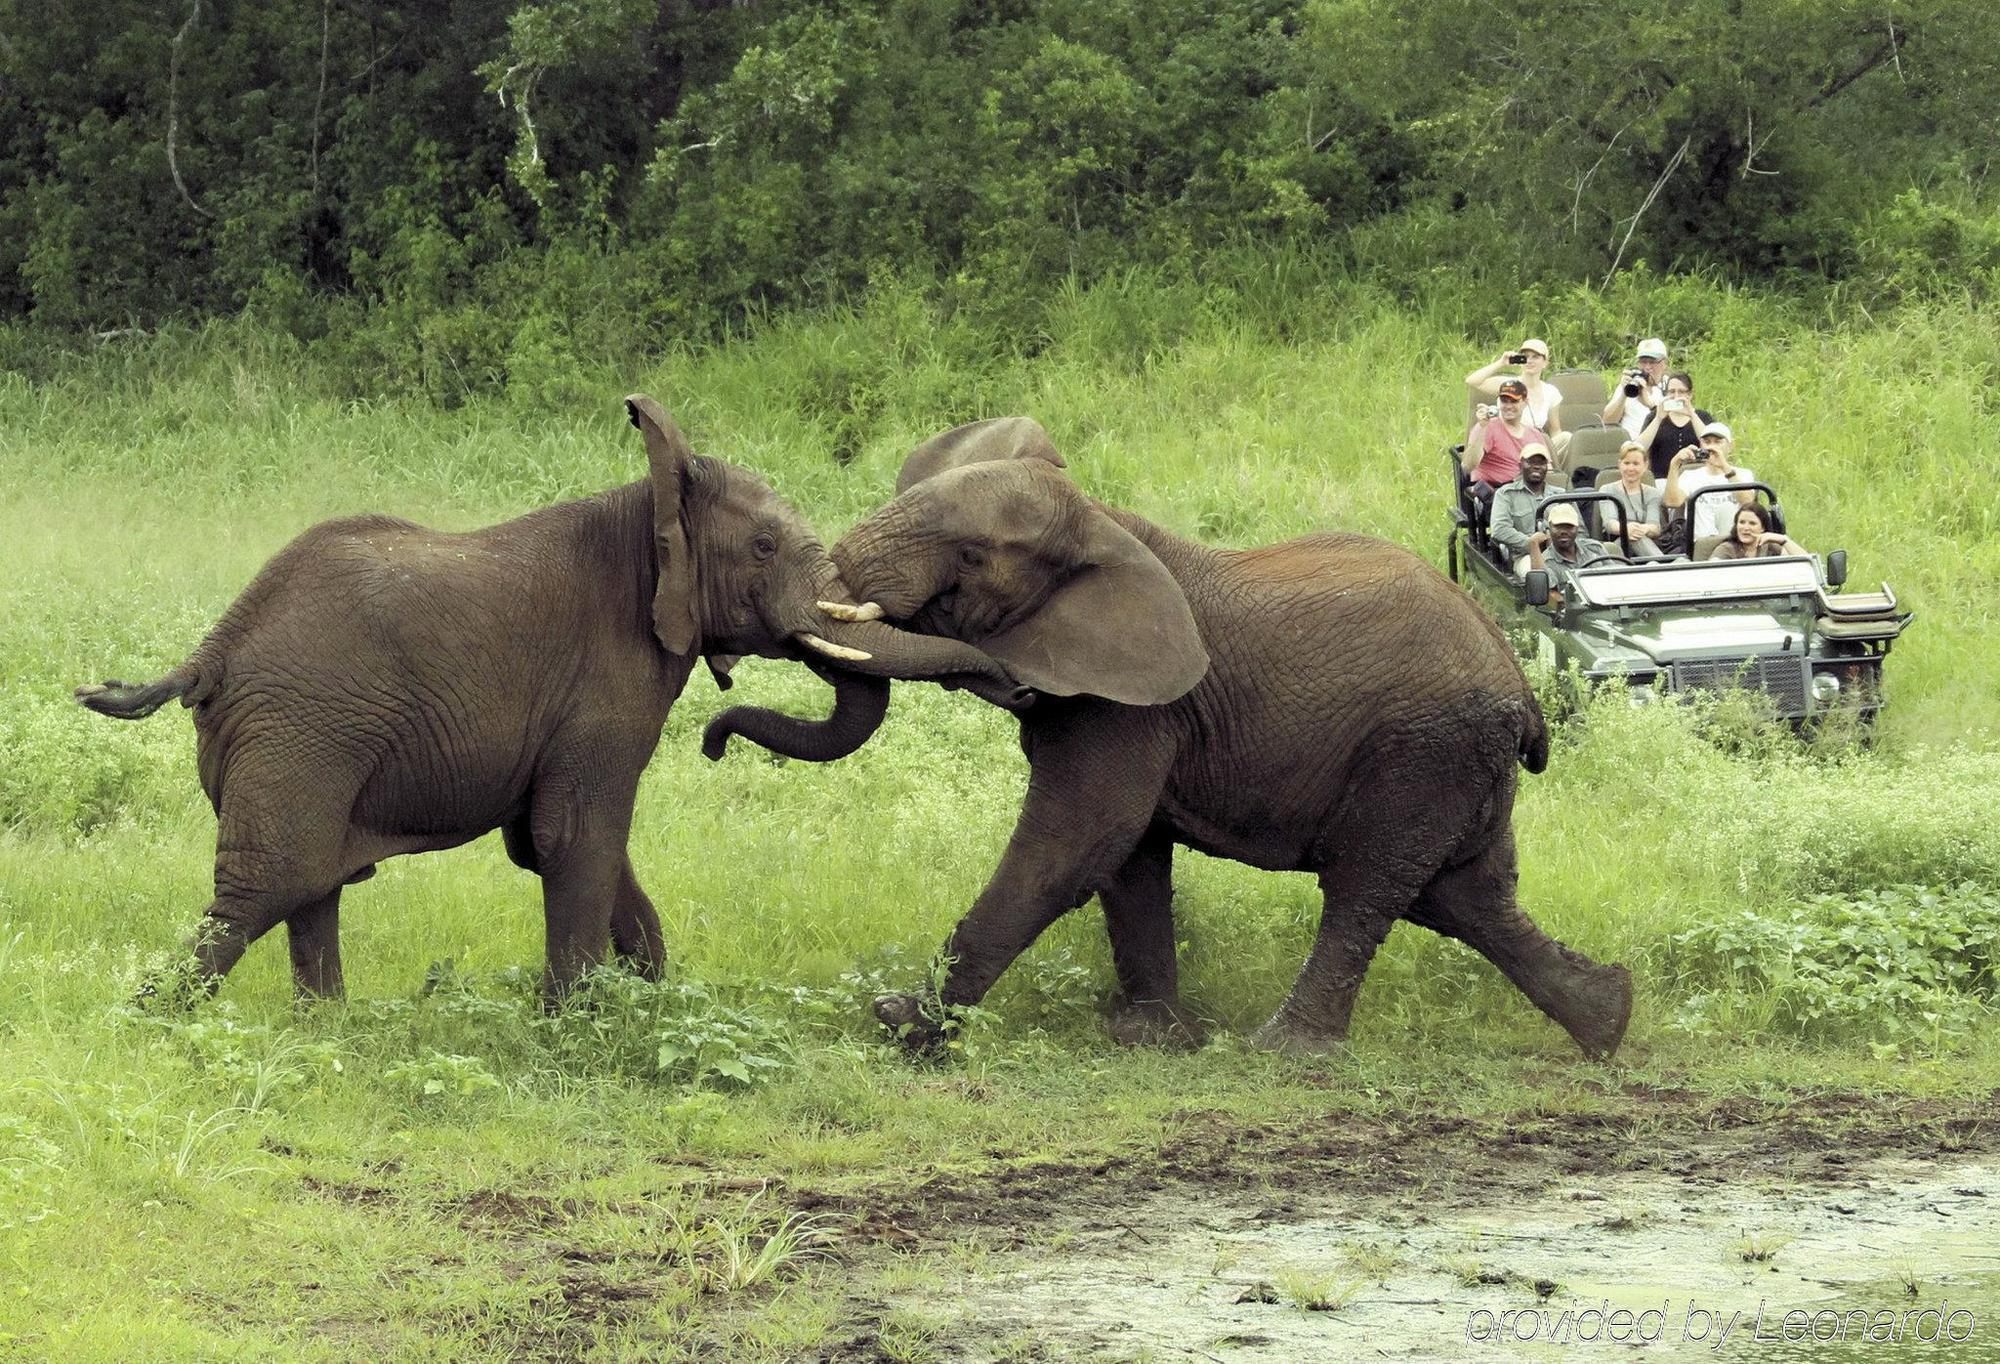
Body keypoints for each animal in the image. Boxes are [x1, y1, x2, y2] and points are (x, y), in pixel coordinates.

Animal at [74, 394, 1016, 1000]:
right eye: (763, 549)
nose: (1008, 680)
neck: (649, 509)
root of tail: (216, 646)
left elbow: (567, 841)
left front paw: (649, 997)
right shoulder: (610, 678)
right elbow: (577, 834)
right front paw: (580, 1022)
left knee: (312, 891)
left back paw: (327, 1031)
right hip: (305, 731)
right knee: (266, 887)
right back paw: (161, 1029)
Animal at [704, 420, 1624, 1056]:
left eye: (969, 556)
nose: (713, 738)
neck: (1101, 521)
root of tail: (1520, 690)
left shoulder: (1132, 708)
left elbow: (1074, 844)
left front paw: (901, 1025)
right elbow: (1128, 858)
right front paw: (1150, 1041)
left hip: (1423, 750)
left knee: (1369, 884)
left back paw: (1285, 1052)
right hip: (1454, 758)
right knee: (1463, 895)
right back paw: (1609, 1019)